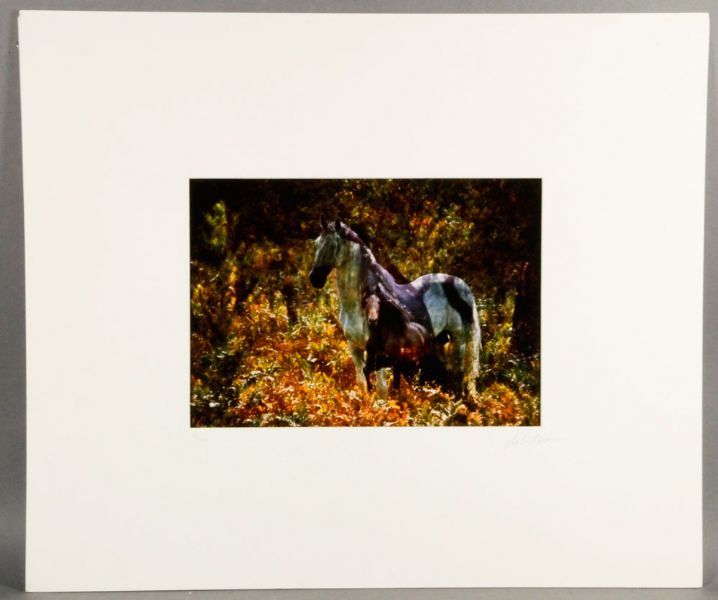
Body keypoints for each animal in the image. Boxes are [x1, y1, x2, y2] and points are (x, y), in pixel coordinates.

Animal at [308, 217, 481, 398]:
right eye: (317, 243)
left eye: (334, 246)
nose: (315, 279)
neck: (359, 306)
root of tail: (459, 283)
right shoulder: (354, 346)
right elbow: (362, 383)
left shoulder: (376, 350)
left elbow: (381, 389)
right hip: (441, 340)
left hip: (459, 340)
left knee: (458, 373)